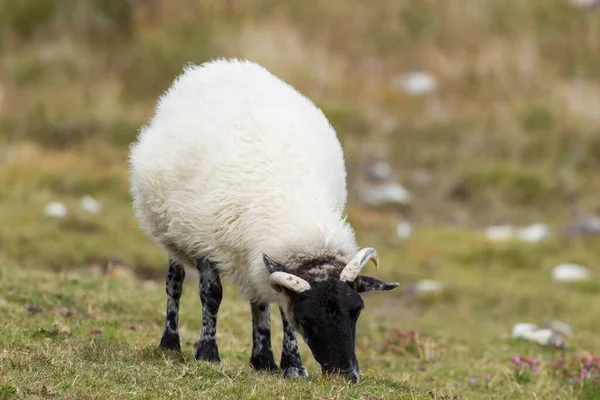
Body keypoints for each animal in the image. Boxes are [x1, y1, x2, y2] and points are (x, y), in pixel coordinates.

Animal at [127, 57, 398, 382]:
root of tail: (218, 64)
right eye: (308, 319)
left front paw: (292, 366)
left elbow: (278, 309)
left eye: (356, 310)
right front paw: (207, 355)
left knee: (258, 299)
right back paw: (170, 343)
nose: (346, 376)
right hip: (175, 231)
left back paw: (263, 359)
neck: (293, 209)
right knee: (174, 283)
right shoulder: (206, 243)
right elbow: (211, 296)